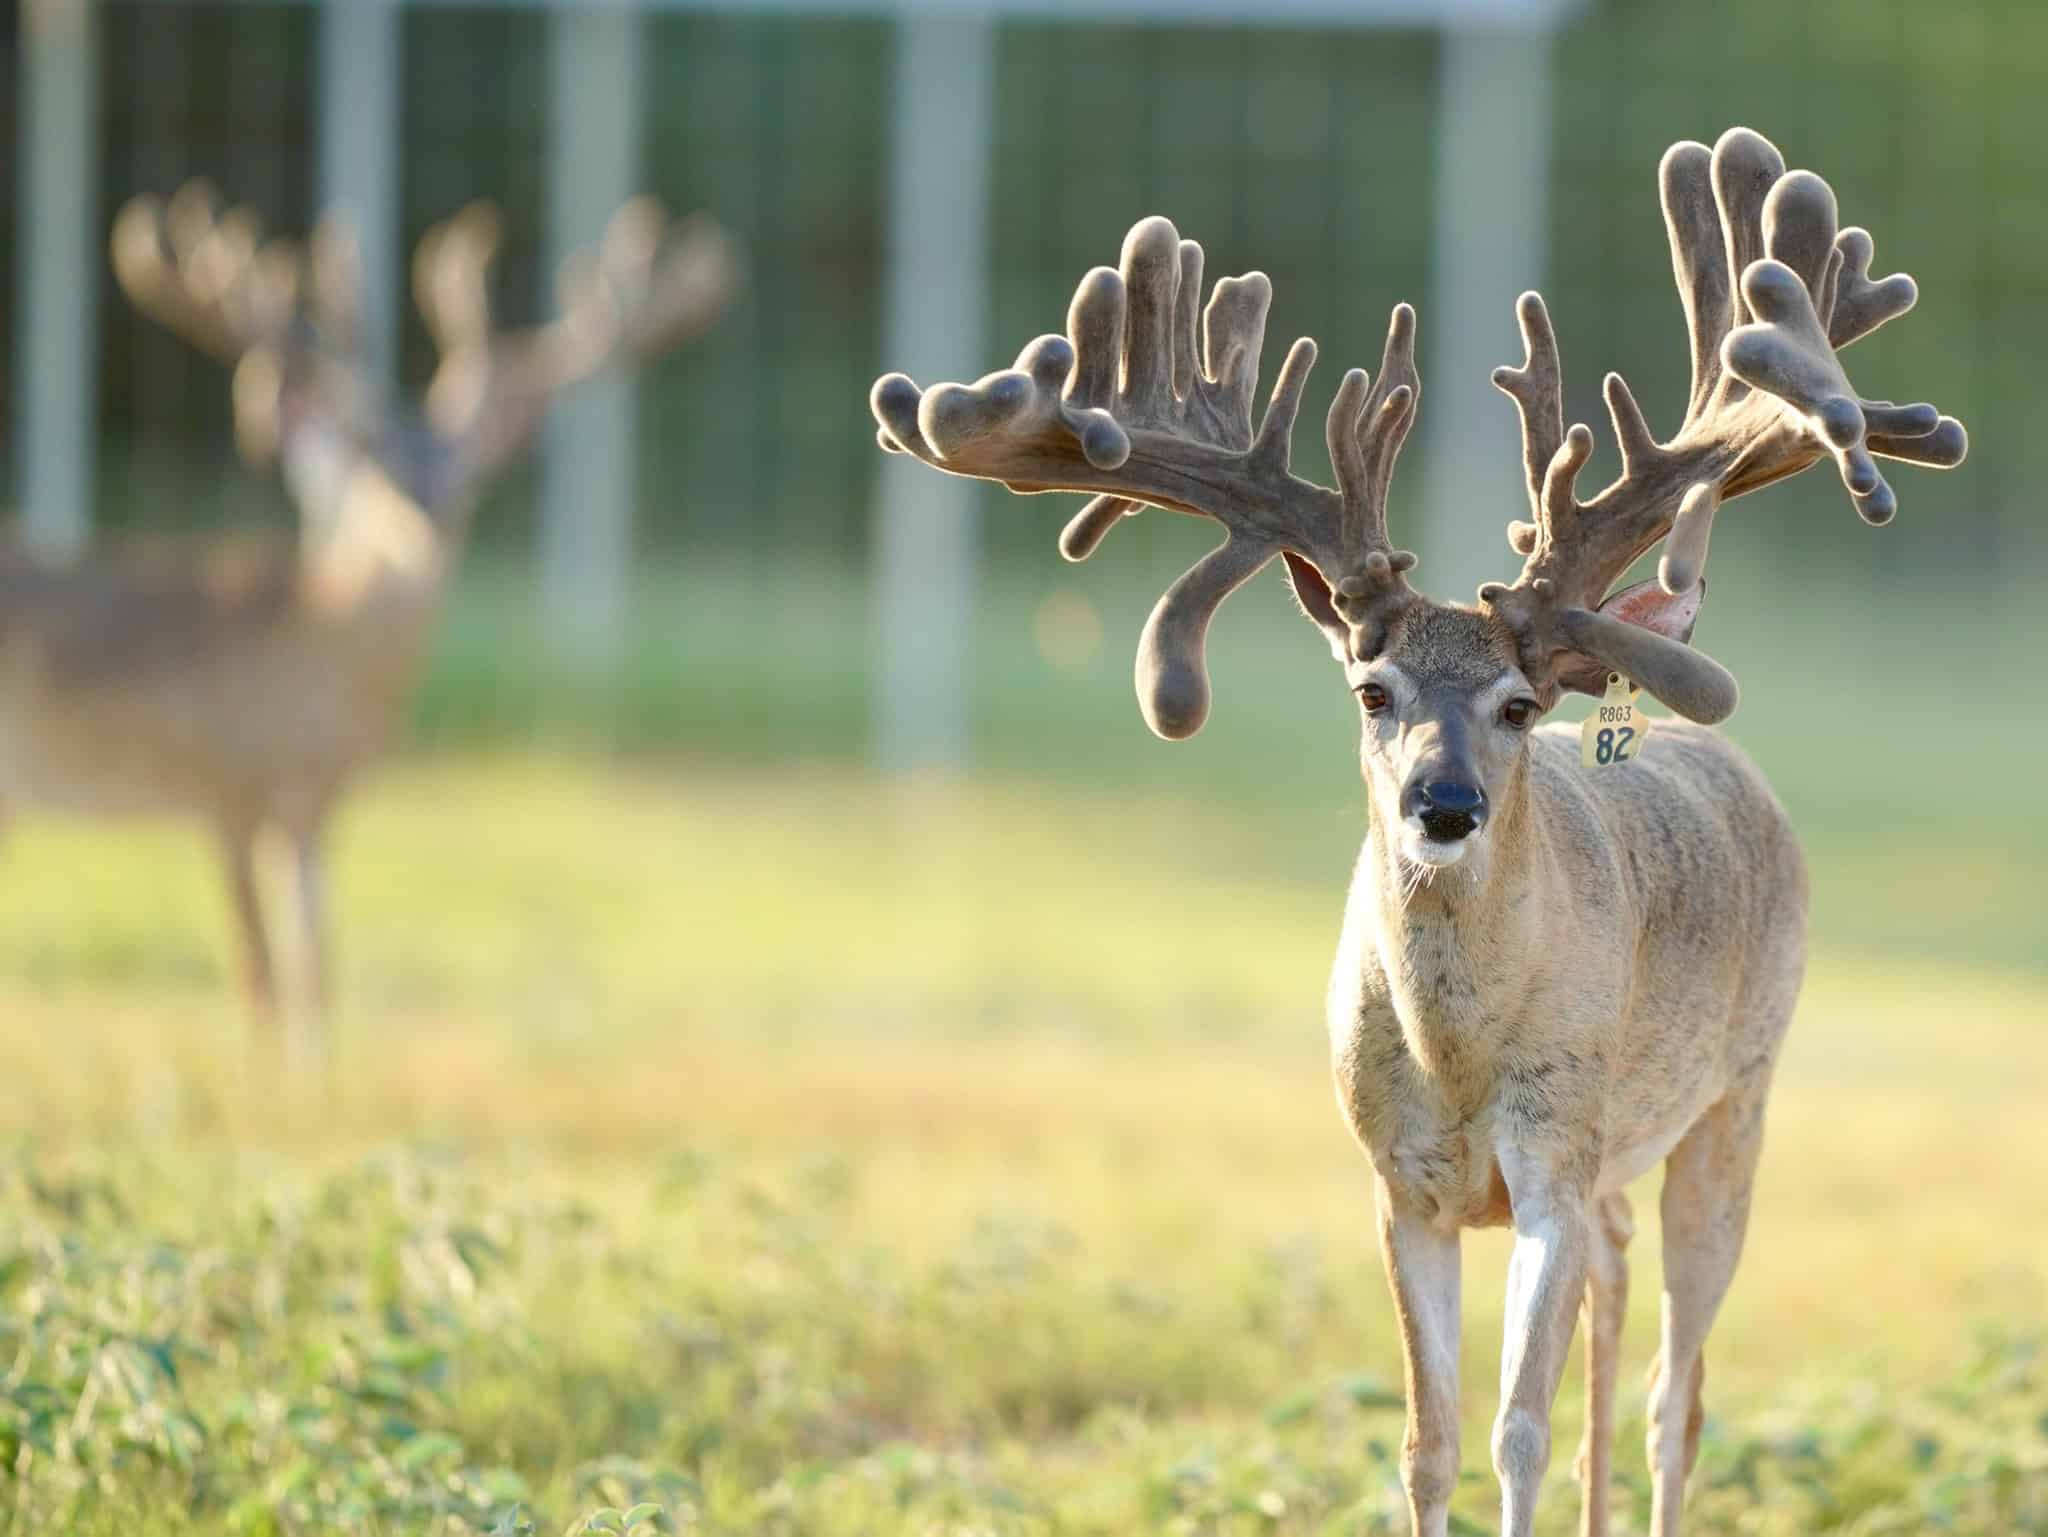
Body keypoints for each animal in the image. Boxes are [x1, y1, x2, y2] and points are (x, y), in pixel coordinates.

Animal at [0, 182, 733, 1051]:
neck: (319, 659)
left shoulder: (318, 808)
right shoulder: (227, 782)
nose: (427, 510)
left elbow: (316, 971)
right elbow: (262, 977)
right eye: (371, 461)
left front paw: (317, 1069)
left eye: (470, 466)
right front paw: (265, 1067)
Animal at [867, 126, 1966, 1535]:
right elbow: (1425, 1438)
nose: (1442, 805)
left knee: (1676, 1392)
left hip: (1737, 1093)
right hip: (1622, 1149)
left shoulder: (1549, 1159)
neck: (1458, 1056)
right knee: (1621, 1304)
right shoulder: (1398, 1183)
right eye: (1369, 689)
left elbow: (1514, 1430)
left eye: (1517, 702)